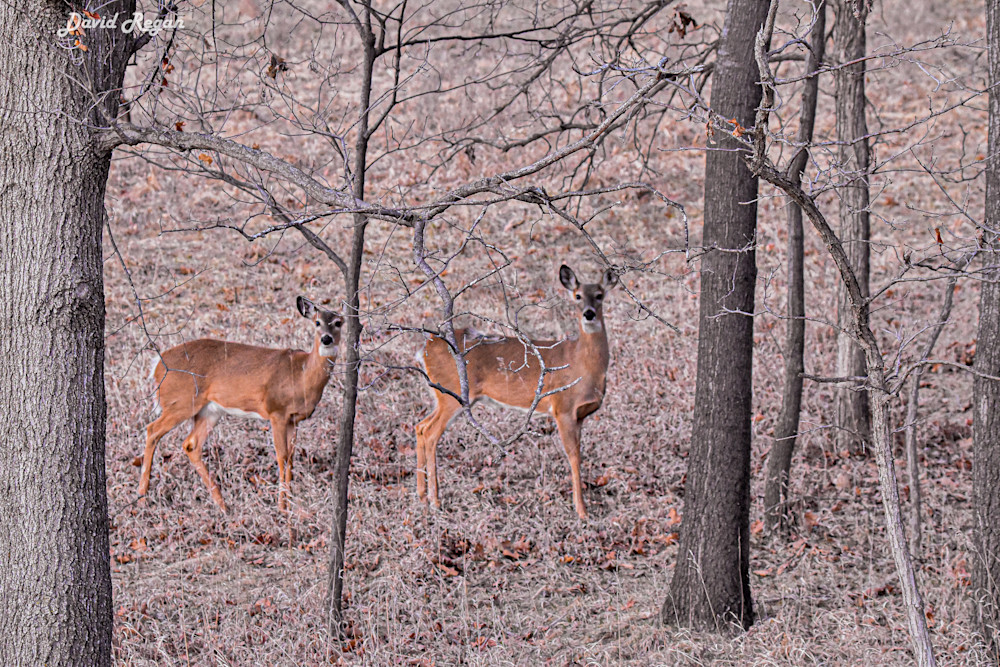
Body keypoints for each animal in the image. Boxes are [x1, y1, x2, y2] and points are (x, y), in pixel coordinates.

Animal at [138, 296, 342, 512]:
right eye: (317, 322)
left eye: (339, 322)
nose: (326, 339)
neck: (302, 376)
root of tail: (157, 367)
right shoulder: (276, 411)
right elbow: (282, 456)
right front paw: (281, 507)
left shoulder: (294, 419)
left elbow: (291, 458)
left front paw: (291, 503)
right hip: (181, 402)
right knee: (152, 430)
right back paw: (142, 497)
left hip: (209, 411)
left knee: (191, 444)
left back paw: (222, 505)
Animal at [415, 264, 616, 520]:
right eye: (577, 296)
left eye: (600, 295)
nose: (589, 314)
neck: (582, 364)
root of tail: (426, 348)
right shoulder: (563, 408)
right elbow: (574, 457)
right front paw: (582, 511)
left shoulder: (580, 415)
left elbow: (579, 453)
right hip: (453, 392)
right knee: (430, 433)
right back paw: (435, 501)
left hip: (443, 395)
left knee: (420, 426)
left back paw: (422, 497)